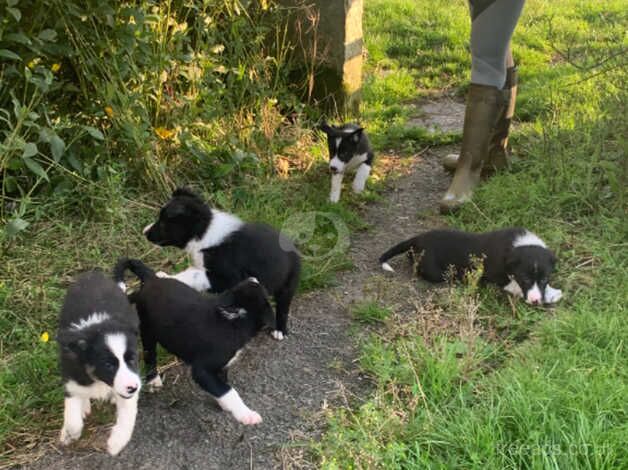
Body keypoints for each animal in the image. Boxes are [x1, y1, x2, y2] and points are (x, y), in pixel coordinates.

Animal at [56, 270, 141, 458]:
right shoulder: (72, 376)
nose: (133, 388)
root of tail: (93, 273)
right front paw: (69, 434)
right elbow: (72, 416)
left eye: (132, 359)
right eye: (108, 365)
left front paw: (115, 443)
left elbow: (128, 417)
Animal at [114, 258, 274, 426]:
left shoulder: (221, 367)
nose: (252, 277)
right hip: (147, 330)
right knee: (149, 354)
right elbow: (228, 391)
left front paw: (224, 405)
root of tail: (153, 278)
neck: (233, 322)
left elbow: (222, 386)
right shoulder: (202, 370)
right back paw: (153, 380)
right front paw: (247, 415)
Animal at [144, 188, 300, 342]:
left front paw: (165, 277)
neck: (205, 232)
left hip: (288, 283)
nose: (144, 232)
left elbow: (193, 274)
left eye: (163, 223)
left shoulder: (228, 278)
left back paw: (279, 330)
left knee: (283, 306)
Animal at [378, 228, 564, 304]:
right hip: (433, 271)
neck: (518, 245)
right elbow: (513, 285)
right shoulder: (496, 275)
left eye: (545, 279)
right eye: (524, 279)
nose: (535, 301)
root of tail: (417, 238)